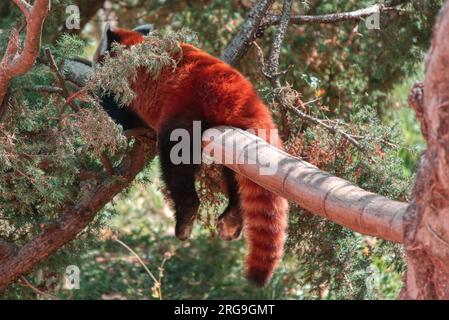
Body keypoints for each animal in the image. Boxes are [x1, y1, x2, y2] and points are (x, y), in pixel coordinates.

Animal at [96, 25, 288, 284]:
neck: (134, 42)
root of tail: (242, 93)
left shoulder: (122, 87)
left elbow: (117, 112)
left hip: (187, 111)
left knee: (176, 163)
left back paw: (186, 213)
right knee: (234, 174)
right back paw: (233, 215)